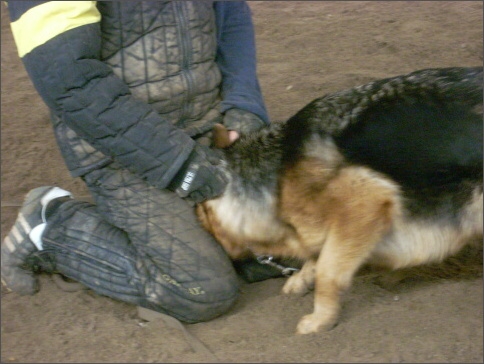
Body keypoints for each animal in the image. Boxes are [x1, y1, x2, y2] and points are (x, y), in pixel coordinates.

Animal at [195, 66, 482, 336]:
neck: (278, 172)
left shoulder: (364, 202)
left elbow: (327, 270)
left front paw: (320, 319)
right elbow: (318, 256)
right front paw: (301, 279)